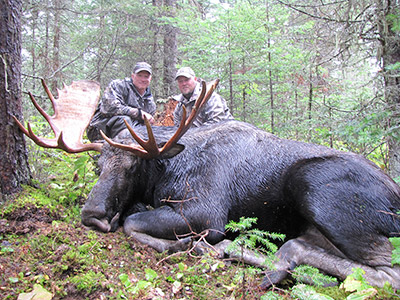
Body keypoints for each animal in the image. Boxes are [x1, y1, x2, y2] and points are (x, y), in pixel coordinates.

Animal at [14, 78, 400, 290]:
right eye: (98, 165)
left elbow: (131, 222)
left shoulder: (205, 212)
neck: (168, 169)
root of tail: (395, 195)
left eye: (133, 165)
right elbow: (131, 215)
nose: (91, 215)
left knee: (385, 273)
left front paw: (186, 244)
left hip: (321, 191)